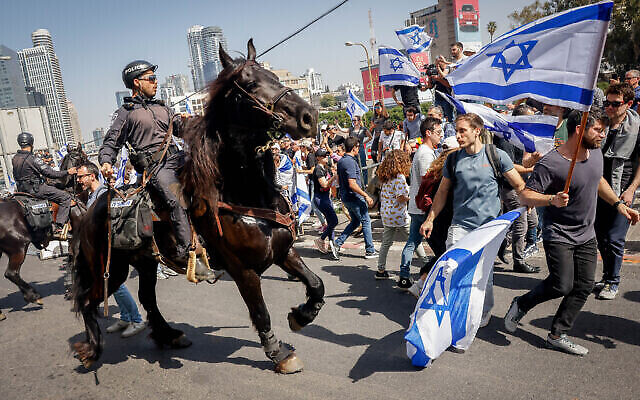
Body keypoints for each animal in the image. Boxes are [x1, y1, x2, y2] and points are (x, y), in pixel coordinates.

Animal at [0, 145, 88, 308]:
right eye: (84, 157)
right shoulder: (77, 235)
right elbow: (74, 258)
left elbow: (71, 258)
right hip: (18, 249)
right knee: (11, 273)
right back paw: (33, 296)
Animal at [72, 39, 322, 374]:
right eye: (251, 84)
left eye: (274, 77)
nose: (309, 116)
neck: (246, 195)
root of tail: (89, 211)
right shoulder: (242, 270)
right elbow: (260, 312)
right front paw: (278, 353)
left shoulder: (283, 251)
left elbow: (316, 284)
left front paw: (300, 316)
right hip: (110, 269)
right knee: (89, 302)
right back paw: (90, 351)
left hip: (145, 262)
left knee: (147, 298)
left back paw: (168, 335)